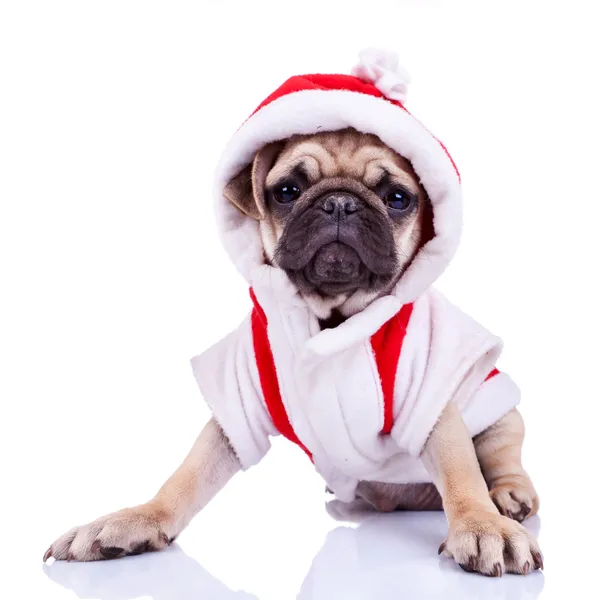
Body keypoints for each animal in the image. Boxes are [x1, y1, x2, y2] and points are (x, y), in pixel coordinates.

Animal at [44, 130, 540, 576]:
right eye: (287, 192)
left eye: (397, 198)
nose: (340, 203)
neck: (334, 320)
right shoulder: (239, 403)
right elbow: (187, 476)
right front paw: (136, 520)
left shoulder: (431, 397)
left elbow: (462, 473)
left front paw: (482, 524)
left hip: (500, 413)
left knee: (501, 460)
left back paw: (508, 497)